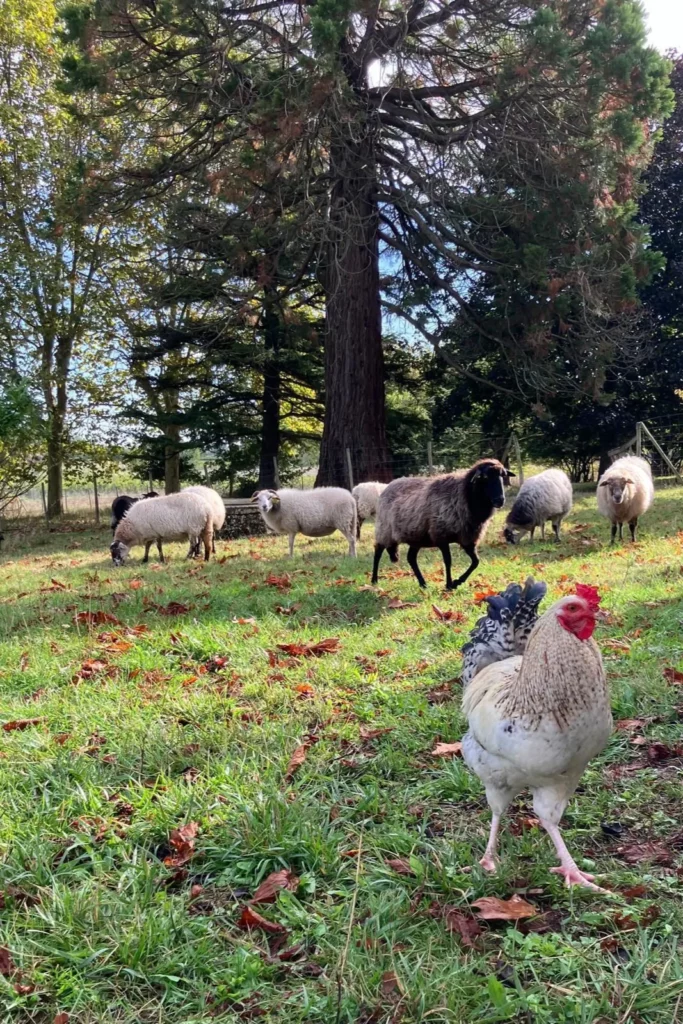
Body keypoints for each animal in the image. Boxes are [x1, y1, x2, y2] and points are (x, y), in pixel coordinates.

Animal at [372, 459, 513, 590]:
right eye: (484, 477)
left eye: (503, 475)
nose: (500, 500)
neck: (465, 497)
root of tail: (390, 485)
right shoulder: (441, 536)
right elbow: (448, 561)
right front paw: (449, 584)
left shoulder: (467, 538)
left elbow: (475, 562)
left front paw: (457, 582)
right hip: (384, 530)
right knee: (378, 551)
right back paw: (374, 580)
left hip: (416, 536)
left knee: (411, 558)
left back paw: (423, 583)